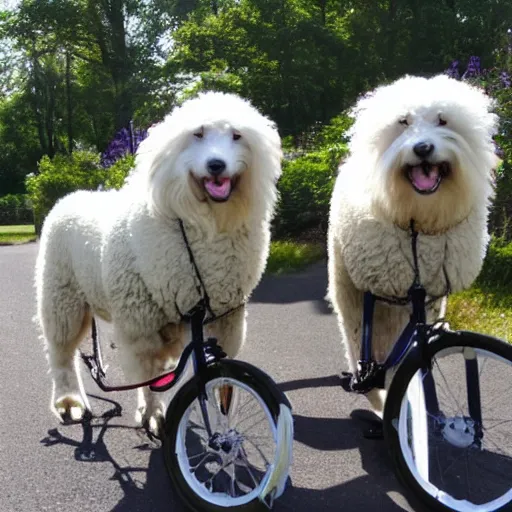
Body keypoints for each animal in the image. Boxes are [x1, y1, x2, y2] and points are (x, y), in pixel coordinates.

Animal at [35, 92, 284, 432]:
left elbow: (218, 382)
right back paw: (69, 402)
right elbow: (149, 376)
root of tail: (68, 198)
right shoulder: (140, 323)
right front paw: (152, 414)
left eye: (237, 136)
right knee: (61, 355)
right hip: (62, 299)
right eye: (197, 134)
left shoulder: (224, 318)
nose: (216, 165)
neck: (205, 224)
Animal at [328, 74, 500, 414]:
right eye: (403, 122)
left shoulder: (431, 298)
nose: (422, 148)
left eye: (443, 120)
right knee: (357, 344)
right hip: (349, 290)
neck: (418, 218)